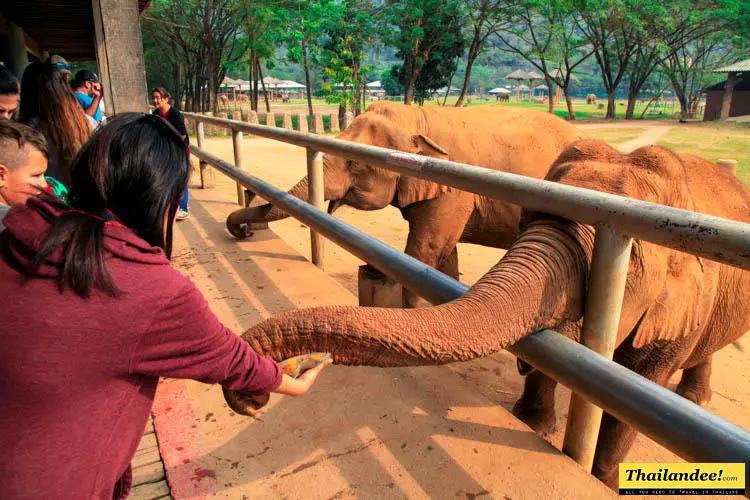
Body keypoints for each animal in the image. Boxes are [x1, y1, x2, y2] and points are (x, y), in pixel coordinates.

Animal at [225, 140, 750, 488]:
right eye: (527, 220)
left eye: (630, 259)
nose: (253, 394)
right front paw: (531, 422)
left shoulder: (683, 307)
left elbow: (640, 393)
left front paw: (603, 479)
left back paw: (693, 399)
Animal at [226, 100, 580, 308]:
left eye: (355, 163)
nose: (244, 232)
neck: (419, 118)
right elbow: (442, 254)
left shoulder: (454, 189)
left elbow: (425, 250)